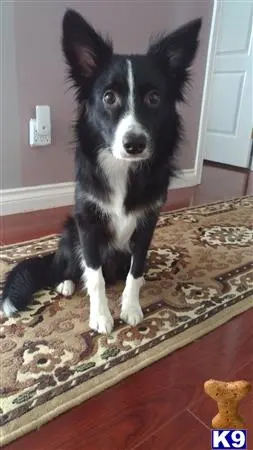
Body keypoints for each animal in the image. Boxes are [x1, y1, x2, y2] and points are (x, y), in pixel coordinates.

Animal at [0, 9, 202, 334]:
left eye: (154, 98)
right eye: (109, 97)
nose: (135, 144)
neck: (123, 168)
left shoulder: (147, 224)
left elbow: (136, 271)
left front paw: (130, 308)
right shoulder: (88, 224)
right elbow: (94, 277)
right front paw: (101, 317)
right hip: (70, 233)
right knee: (64, 268)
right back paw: (66, 282)